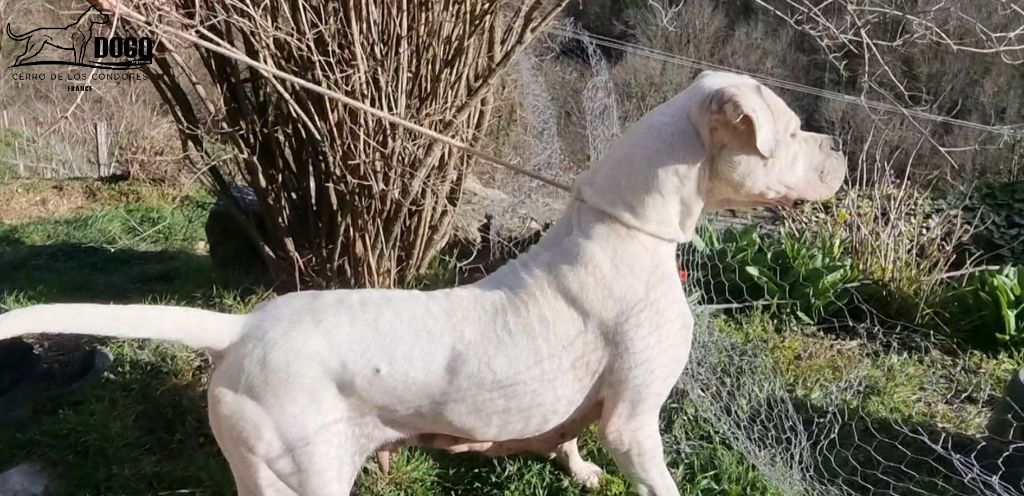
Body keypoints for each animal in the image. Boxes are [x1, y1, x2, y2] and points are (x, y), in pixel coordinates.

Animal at [0, 70, 843, 496]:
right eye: (793, 130)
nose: (837, 150)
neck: (630, 226)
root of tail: (245, 326)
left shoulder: (596, 413)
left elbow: (569, 438)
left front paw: (577, 470)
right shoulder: (636, 420)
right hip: (306, 475)